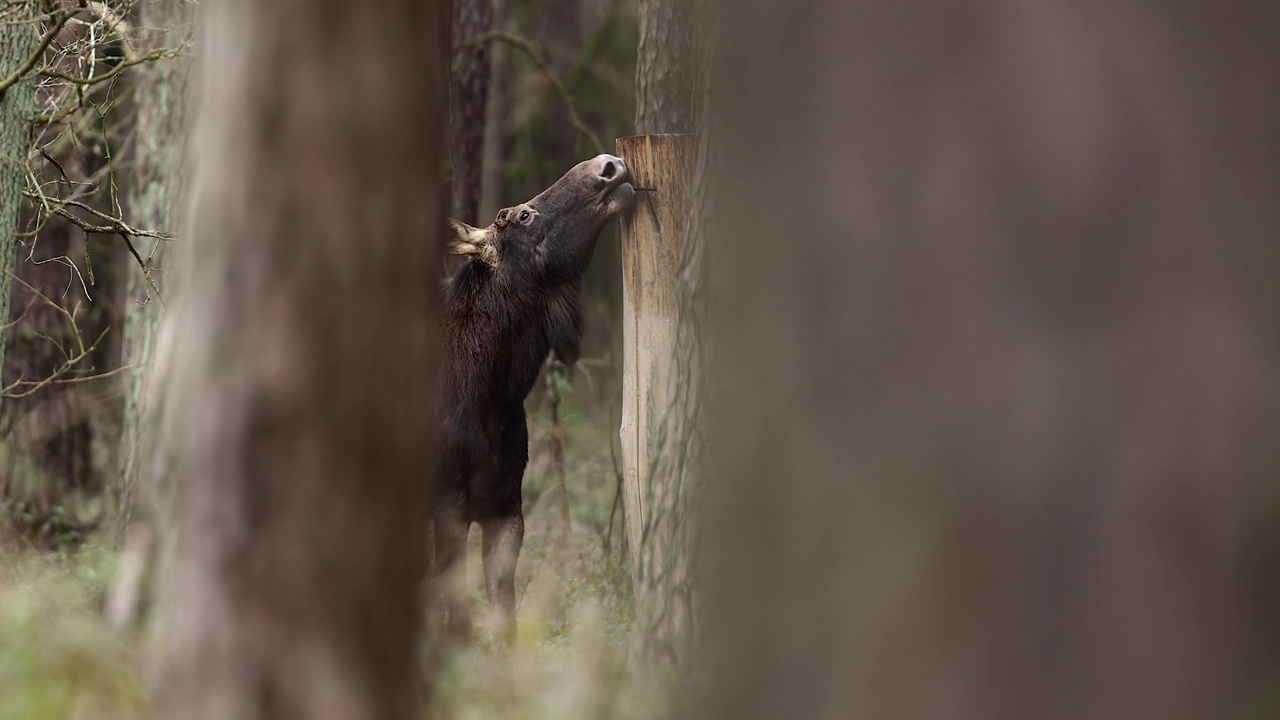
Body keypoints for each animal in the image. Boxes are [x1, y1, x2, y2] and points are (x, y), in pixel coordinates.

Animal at [440, 151, 634, 638]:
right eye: (523, 214)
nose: (609, 163)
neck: (493, 396)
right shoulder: (447, 506)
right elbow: (458, 620)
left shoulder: (507, 505)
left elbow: (505, 619)